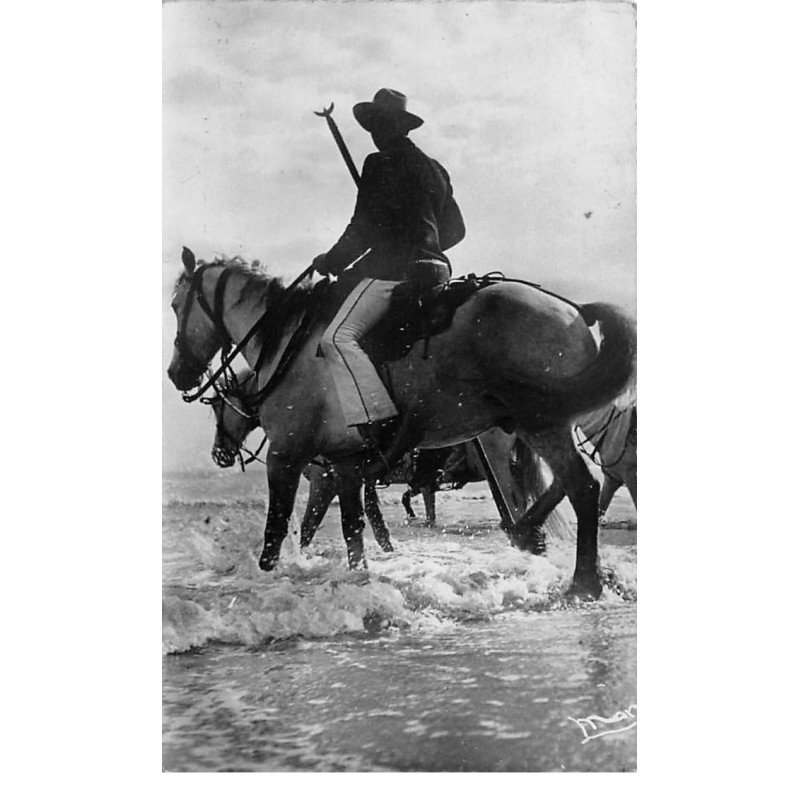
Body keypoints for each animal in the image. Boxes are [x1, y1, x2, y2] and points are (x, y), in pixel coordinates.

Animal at [170, 253, 636, 596]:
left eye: (176, 306)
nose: (177, 374)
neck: (286, 343)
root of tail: (575, 310)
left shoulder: (287, 458)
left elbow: (277, 531)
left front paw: (269, 575)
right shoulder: (344, 466)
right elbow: (353, 531)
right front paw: (360, 575)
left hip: (537, 424)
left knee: (581, 486)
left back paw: (582, 581)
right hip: (533, 423)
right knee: (566, 486)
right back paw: (533, 537)